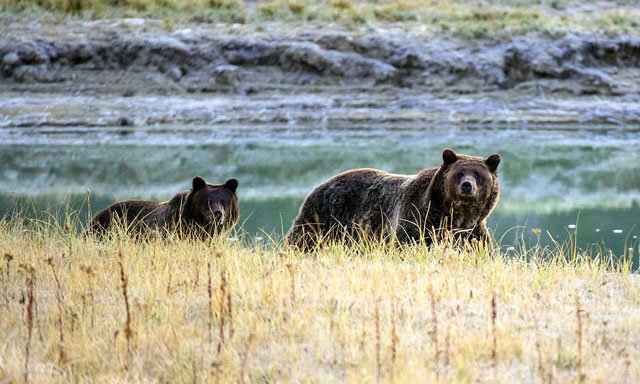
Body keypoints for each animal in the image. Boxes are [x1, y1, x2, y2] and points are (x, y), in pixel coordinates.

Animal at [284, 148, 500, 250]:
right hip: (324, 217)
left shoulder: (472, 232)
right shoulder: (417, 220)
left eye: (478, 174)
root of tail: (321, 184)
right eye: (459, 173)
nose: (467, 186)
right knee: (303, 241)